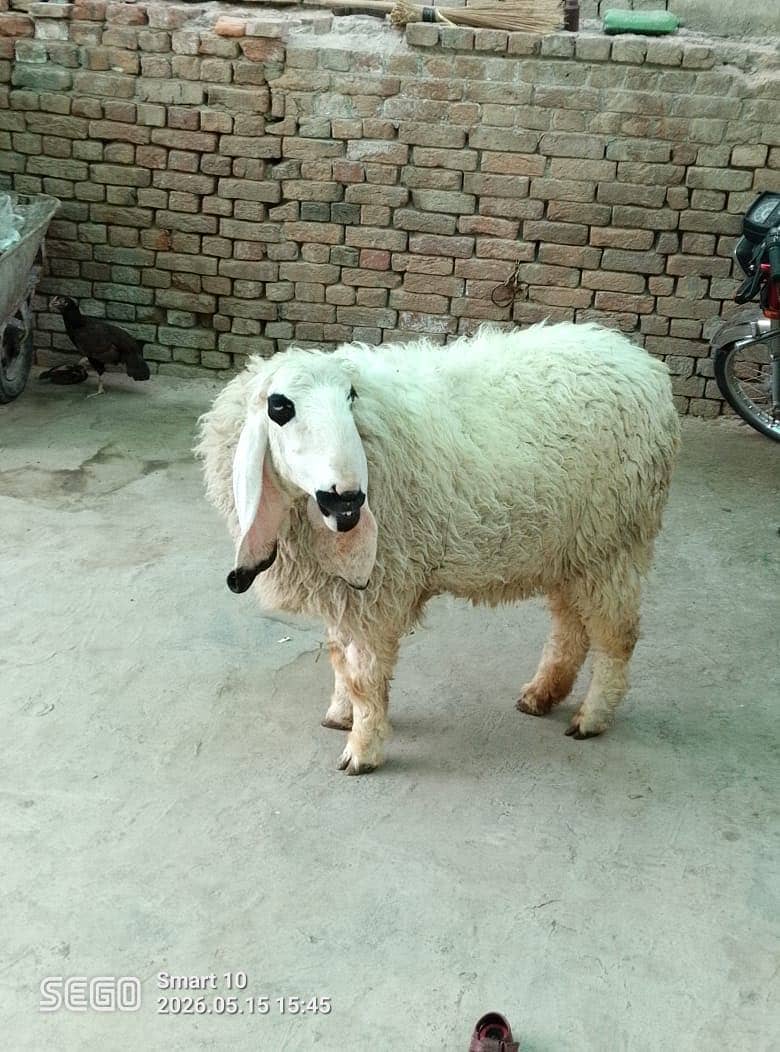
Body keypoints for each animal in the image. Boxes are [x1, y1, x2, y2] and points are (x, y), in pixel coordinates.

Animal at [197, 322, 680, 775]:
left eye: (350, 397)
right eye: (280, 407)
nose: (348, 500)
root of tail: (641, 363)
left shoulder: (379, 588)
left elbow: (364, 674)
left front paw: (362, 748)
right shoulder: (342, 588)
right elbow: (338, 654)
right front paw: (340, 714)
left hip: (613, 542)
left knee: (616, 634)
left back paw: (592, 717)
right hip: (570, 548)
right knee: (569, 626)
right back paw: (542, 694)